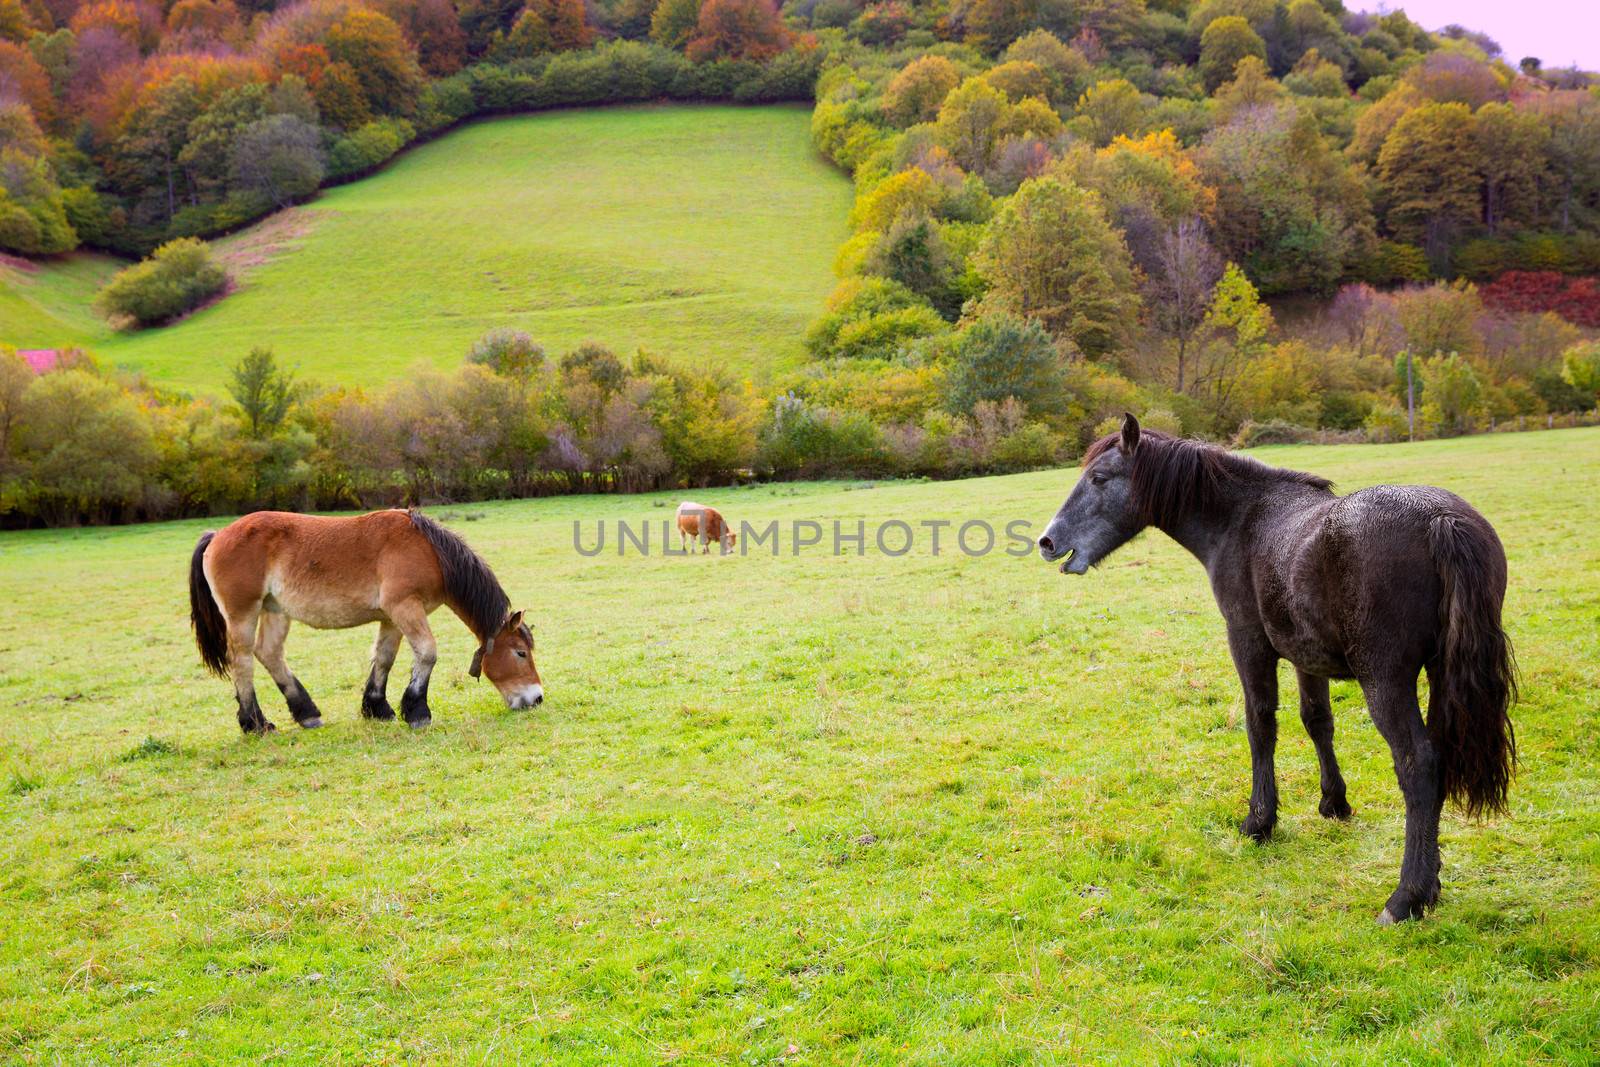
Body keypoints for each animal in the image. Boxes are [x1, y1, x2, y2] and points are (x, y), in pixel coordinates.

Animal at [188, 508, 544, 735]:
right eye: (520, 653)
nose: (536, 698)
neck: (429, 552)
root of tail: (217, 535)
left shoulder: (392, 618)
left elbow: (384, 659)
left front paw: (377, 708)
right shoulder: (404, 608)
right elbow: (427, 653)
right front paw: (418, 712)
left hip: (275, 610)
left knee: (270, 653)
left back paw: (307, 713)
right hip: (243, 614)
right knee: (243, 660)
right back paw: (255, 723)